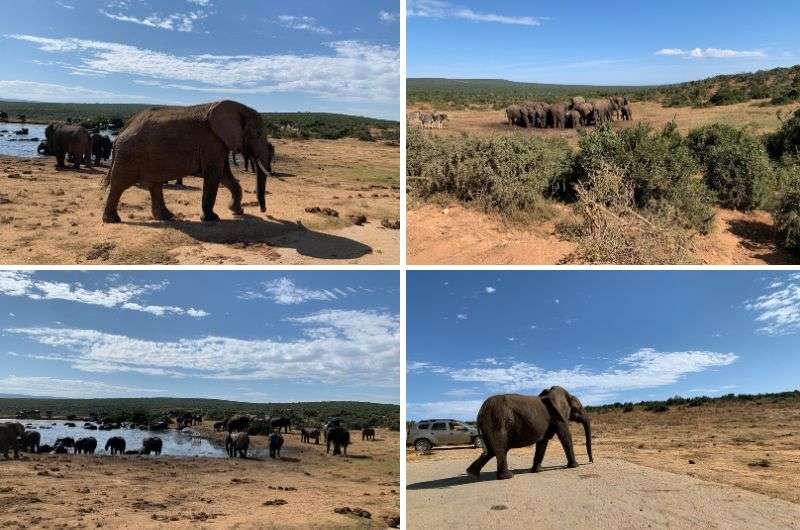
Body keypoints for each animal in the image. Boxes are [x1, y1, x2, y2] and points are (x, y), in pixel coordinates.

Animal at [101, 99, 276, 223]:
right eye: (258, 134)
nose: (264, 211)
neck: (239, 107)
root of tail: (122, 130)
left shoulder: (219, 144)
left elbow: (225, 176)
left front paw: (237, 211)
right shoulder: (211, 142)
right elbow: (215, 175)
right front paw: (212, 219)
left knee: (154, 185)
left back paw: (167, 217)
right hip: (128, 155)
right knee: (119, 185)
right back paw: (112, 220)